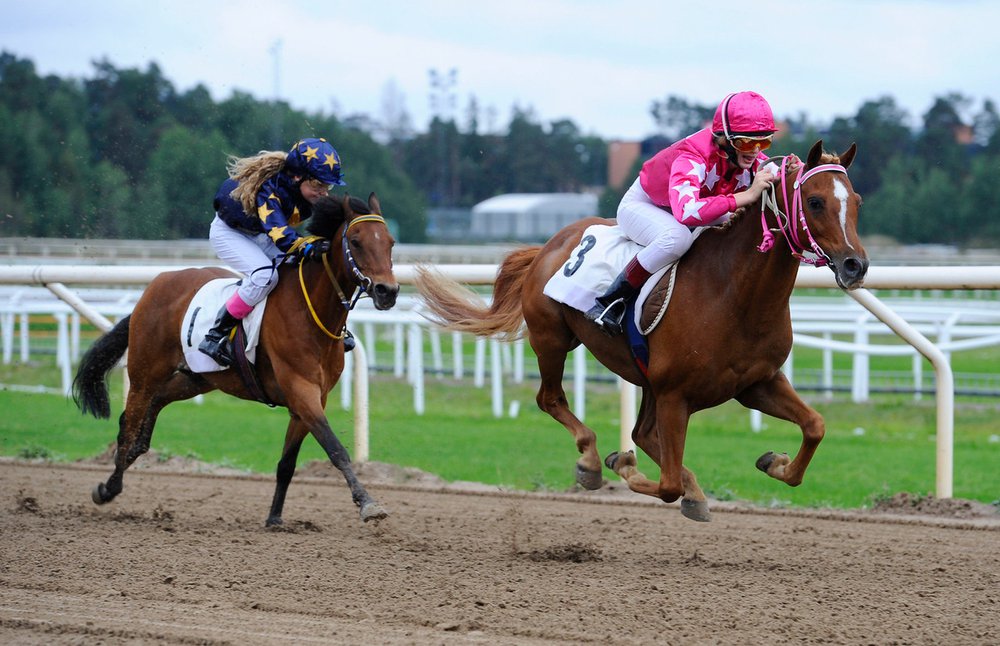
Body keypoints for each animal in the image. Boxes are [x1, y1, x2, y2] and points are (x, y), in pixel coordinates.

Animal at [72, 192, 398, 528]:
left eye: (390, 242)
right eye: (356, 242)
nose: (388, 291)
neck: (312, 313)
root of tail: (154, 286)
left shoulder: (310, 400)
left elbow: (287, 464)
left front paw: (274, 518)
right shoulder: (301, 390)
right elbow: (335, 448)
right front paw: (368, 503)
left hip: (198, 378)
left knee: (157, 401)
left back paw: (137, 451)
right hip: (144, 373)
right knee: (128, 423)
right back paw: (109, 487)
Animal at [414, 140, 868, 520]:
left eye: (857, 202)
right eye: (815, 201)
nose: (855, 265)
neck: (735, 295)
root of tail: (549, 245)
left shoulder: (757, 383)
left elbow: (815, 427)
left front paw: (774, 461)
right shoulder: (675, 393)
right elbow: (665, 484)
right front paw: (624, 465)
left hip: (645, 376)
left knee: (643, 433)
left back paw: (687, 488)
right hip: (552, 338)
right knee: (551, 399)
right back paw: (592, 460)